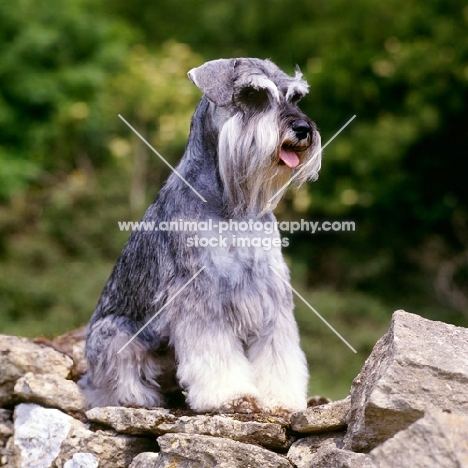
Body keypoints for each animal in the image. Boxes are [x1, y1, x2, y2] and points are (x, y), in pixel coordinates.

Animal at [80, 56, 322, 414]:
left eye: (296, 97)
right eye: (252, 94)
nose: (303, 129)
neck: (232, 204)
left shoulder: (270, 291)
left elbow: (278, 351)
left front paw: (281, 398)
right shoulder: (200, 292)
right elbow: (215, 349)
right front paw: (232, 395)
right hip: (113, 334)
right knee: (108, 383)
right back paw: (136, 397)